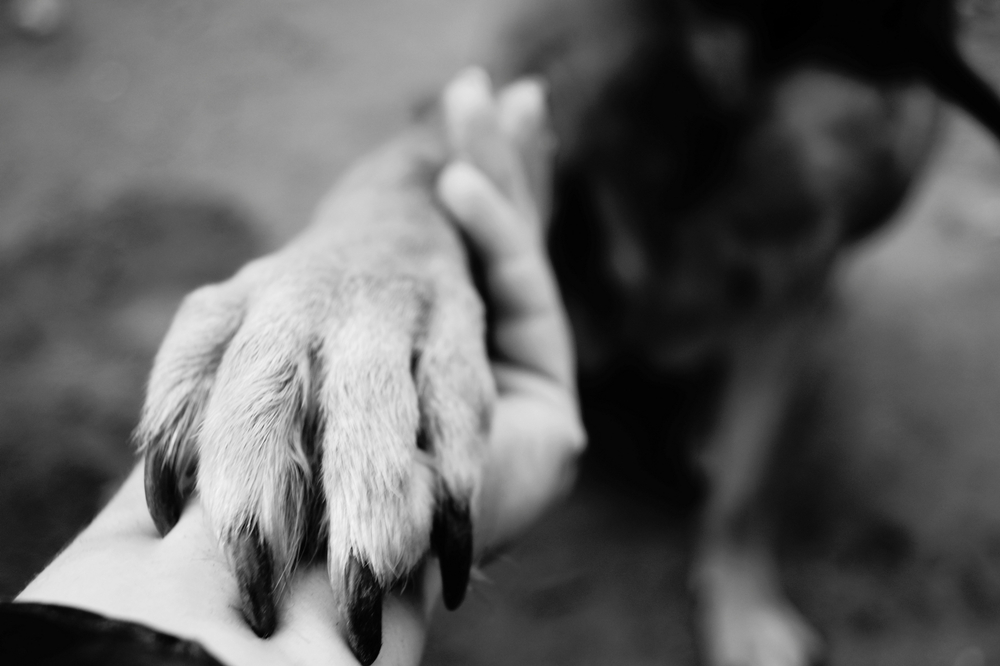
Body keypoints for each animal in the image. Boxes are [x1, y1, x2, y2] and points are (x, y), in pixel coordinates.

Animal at [133, 1, 1000, 664]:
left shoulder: (809, 253)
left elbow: (748, 486)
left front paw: (745, 611)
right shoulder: (517, 90)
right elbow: (415, 176)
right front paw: (345, 302)